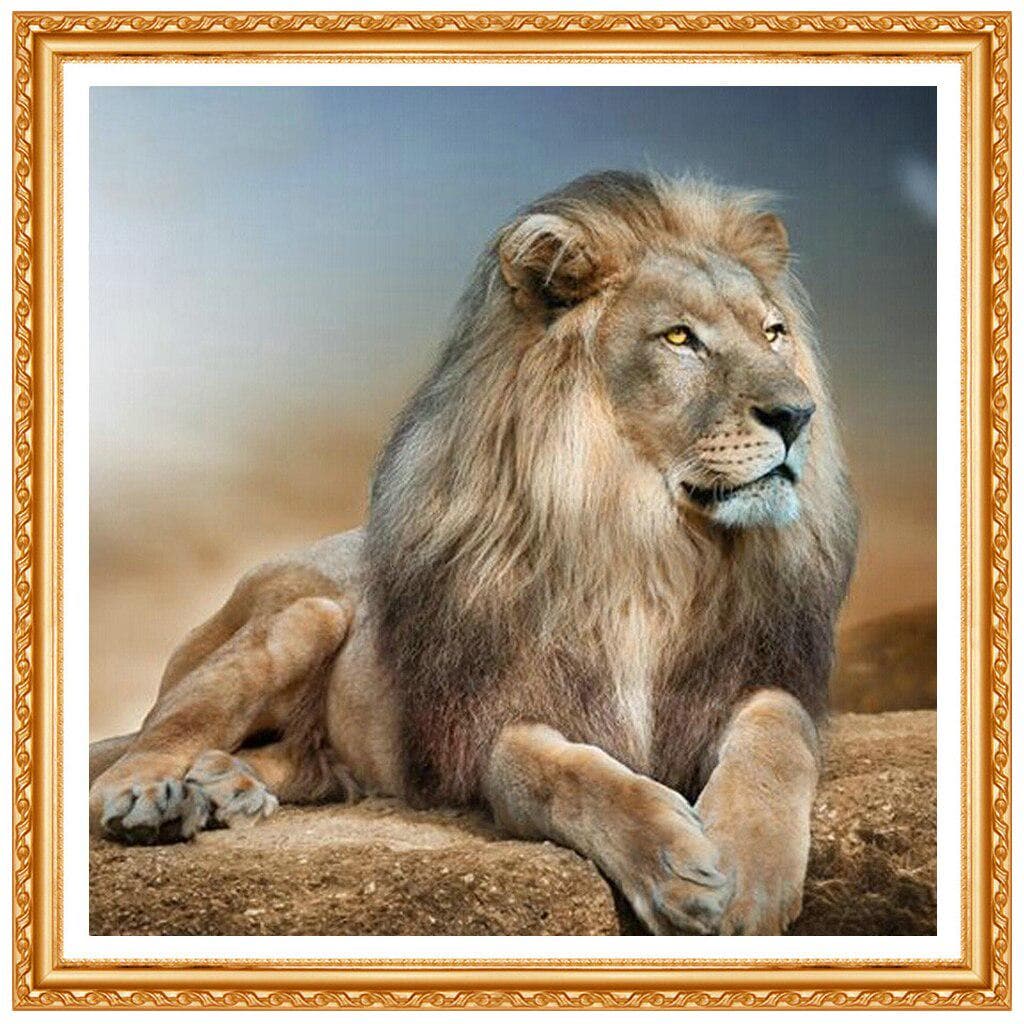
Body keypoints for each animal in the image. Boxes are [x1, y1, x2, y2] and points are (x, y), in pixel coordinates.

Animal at [89, 170, 857, 936]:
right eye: (679, 337)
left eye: (774, 333)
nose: (798, 415)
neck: (645, 545)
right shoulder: (491, 716)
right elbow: (553, 773)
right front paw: (674, 863)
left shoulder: (748, 674)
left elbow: (777, 730)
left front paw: (751, 873)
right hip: (304, 616)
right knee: (142, 747)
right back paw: (158, 798)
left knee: (304, 760)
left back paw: (228, 785)